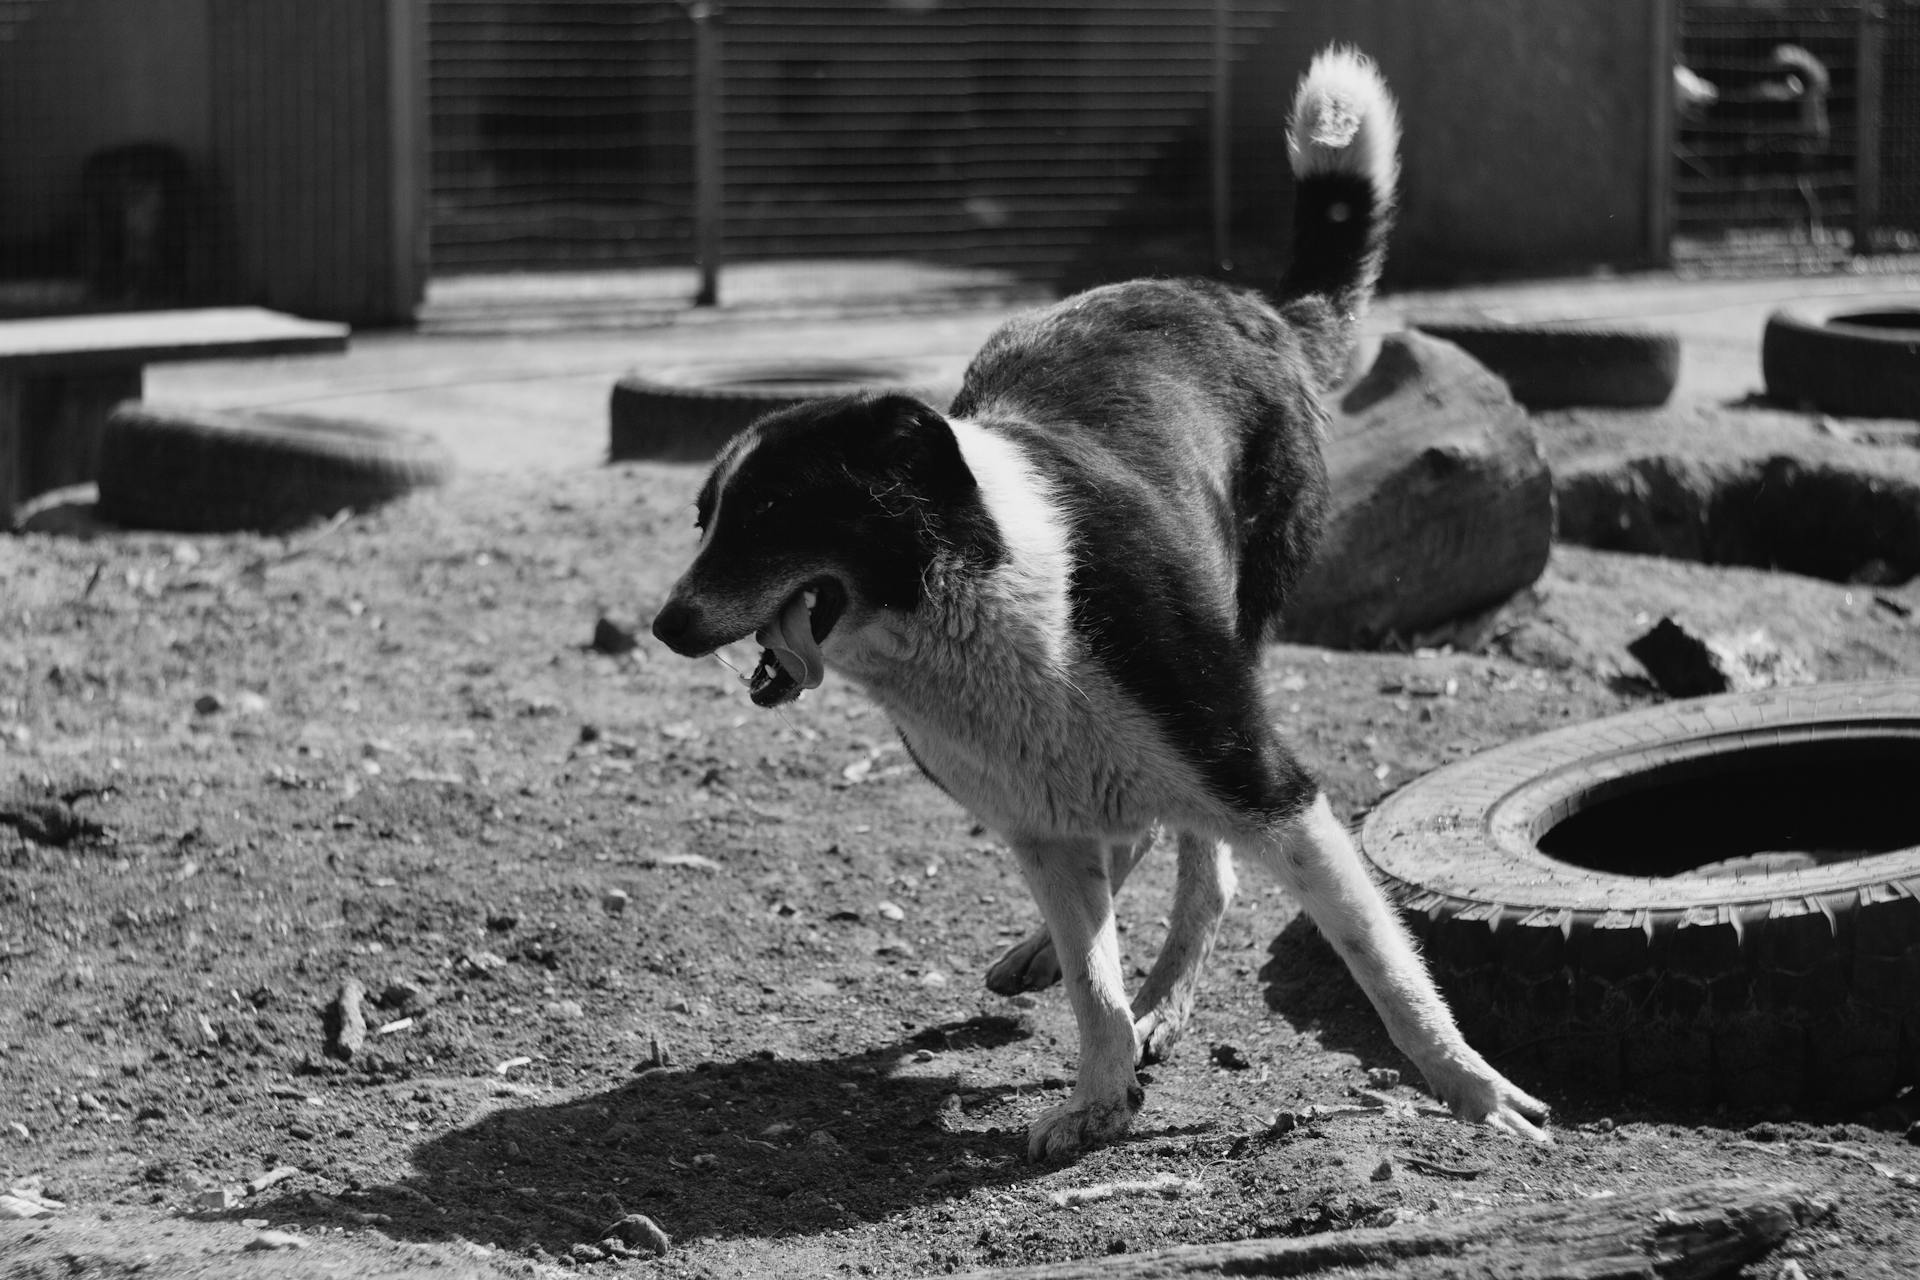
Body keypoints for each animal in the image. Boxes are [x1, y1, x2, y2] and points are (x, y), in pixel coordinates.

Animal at [652, 47, 1551, 1159]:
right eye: (706, 515)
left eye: (772, 511)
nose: (668, 624)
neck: (978, 587)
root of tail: (1251, 307)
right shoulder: (1037, 823)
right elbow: (1092, 980)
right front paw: (1098, 1092)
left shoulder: (1268, 783)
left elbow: (1378, 958)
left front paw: (1470, 1085)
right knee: (1135, 842)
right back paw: (1078, 965)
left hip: (1235, 655)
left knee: (1204, 866)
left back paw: (1168, 996)